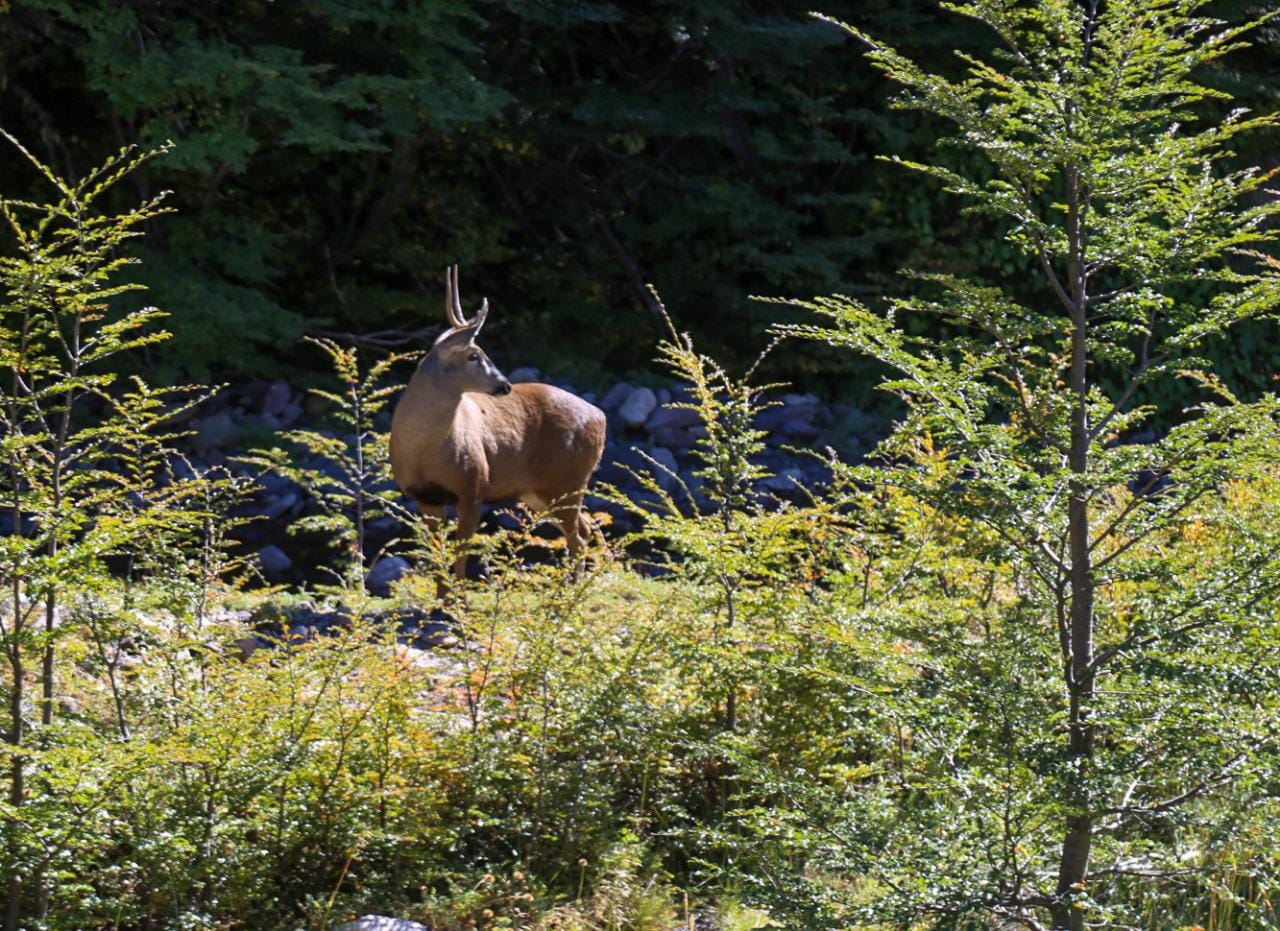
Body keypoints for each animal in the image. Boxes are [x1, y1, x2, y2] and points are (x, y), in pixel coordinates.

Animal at [390, 266, 607, 578]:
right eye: (474, 355)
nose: (505, 385)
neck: (425, 451)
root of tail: (601, 417)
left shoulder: (474, 486)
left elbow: (460, 556)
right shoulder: (425, 497)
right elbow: (438, 556)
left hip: (569, 479)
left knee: (577, 535)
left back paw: (574, 586)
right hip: (539, 491)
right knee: (585, 528)